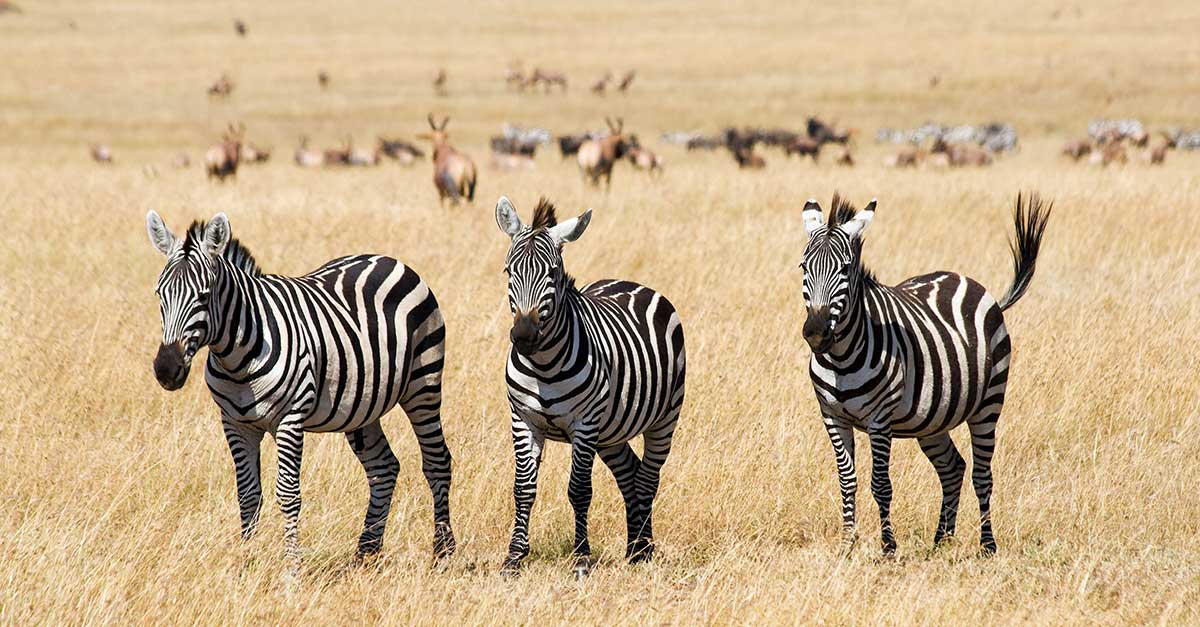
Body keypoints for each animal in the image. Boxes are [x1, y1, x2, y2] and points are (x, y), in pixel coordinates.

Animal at [145, 211, 453, 571]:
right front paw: (246, 560)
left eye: (204, 296)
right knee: (383, 468)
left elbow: (288, 493)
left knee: (437, 462)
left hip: (423, 385)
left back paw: (443, 552)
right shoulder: (235, 424)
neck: (238, 358)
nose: (166, 370)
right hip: (362, 405)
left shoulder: (289, 420)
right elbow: (248, 494)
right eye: (159, 295)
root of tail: (387, 259)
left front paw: (291, 567)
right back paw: (366, 552)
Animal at [494, 193, 686, 576]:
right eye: (509, 271)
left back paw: (643, 549)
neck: (543, 366)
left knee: (648, 478)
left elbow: (579, 490)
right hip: (610, 431)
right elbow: (523, 489)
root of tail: (629, 283)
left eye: (552, 273)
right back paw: (634, 546)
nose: (523, 337)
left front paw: (581, 558)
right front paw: (514, 557)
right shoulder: (523, 419)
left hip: (663, 418)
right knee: (630, 473)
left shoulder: (584, 423)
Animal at [796, 192, 1051, 554]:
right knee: (953, 467)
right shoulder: (832, 416)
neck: (840, 358)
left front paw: (888, 546)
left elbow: (880, 483)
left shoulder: (880, 419)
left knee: (982, 475)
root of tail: (964, 279)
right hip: (932, 418)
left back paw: (987, 544)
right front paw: (847, 543)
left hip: (989, 403)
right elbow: (847, 479)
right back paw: (942, 539)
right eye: (804, 268)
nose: (816, 333)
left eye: (845, 270)